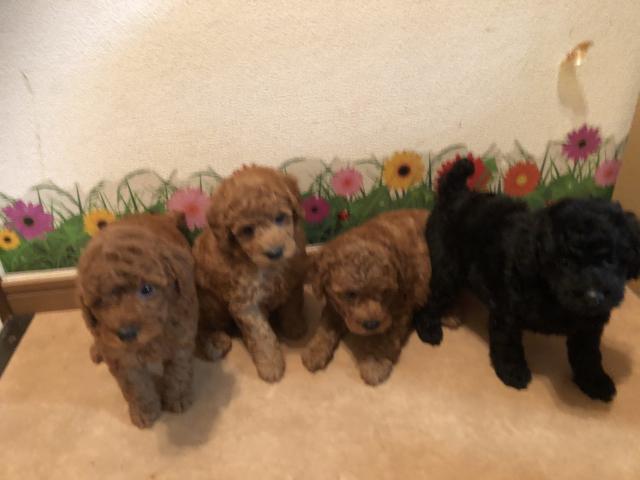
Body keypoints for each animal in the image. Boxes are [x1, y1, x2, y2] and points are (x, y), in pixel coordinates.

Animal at [77, 213, 198, 428]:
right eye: (99, 301)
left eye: (147, 289)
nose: (126, 333)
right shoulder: (122, 358)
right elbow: (135, 386)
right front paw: (144, 411)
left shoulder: (182, 336)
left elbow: (179, 371)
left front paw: (178, 398)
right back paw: (97, 350)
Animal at [193, 166, 307, 382]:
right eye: (247, 230)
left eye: (280, 218)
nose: (275, 252)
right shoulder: (245, 304)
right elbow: (261, 336)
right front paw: (271, 366)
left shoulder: (294, 278)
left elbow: (293, 306)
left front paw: (294, 327)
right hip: (209, 304)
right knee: (200, 328)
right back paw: (215, 342)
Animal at [302, 209, 452, 385]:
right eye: (350, 294)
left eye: (384, 291)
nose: (371, 324)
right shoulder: (334, 305)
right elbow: (325, 326)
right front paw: (315, 351)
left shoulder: (400, 310)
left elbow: (385, 340)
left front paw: (375, 363)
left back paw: (450, 317)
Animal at [414, 158, 640, 401]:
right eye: (565, 262)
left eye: (610, 260)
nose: (592, 297)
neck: (552, 292)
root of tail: (456, 192)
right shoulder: (508, 311)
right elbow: (508, 343)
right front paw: (513, 371)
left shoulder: (588, 327)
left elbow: (588, 355)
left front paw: (596, 382)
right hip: (447, 267)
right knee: (434, 297)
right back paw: (429, 328)